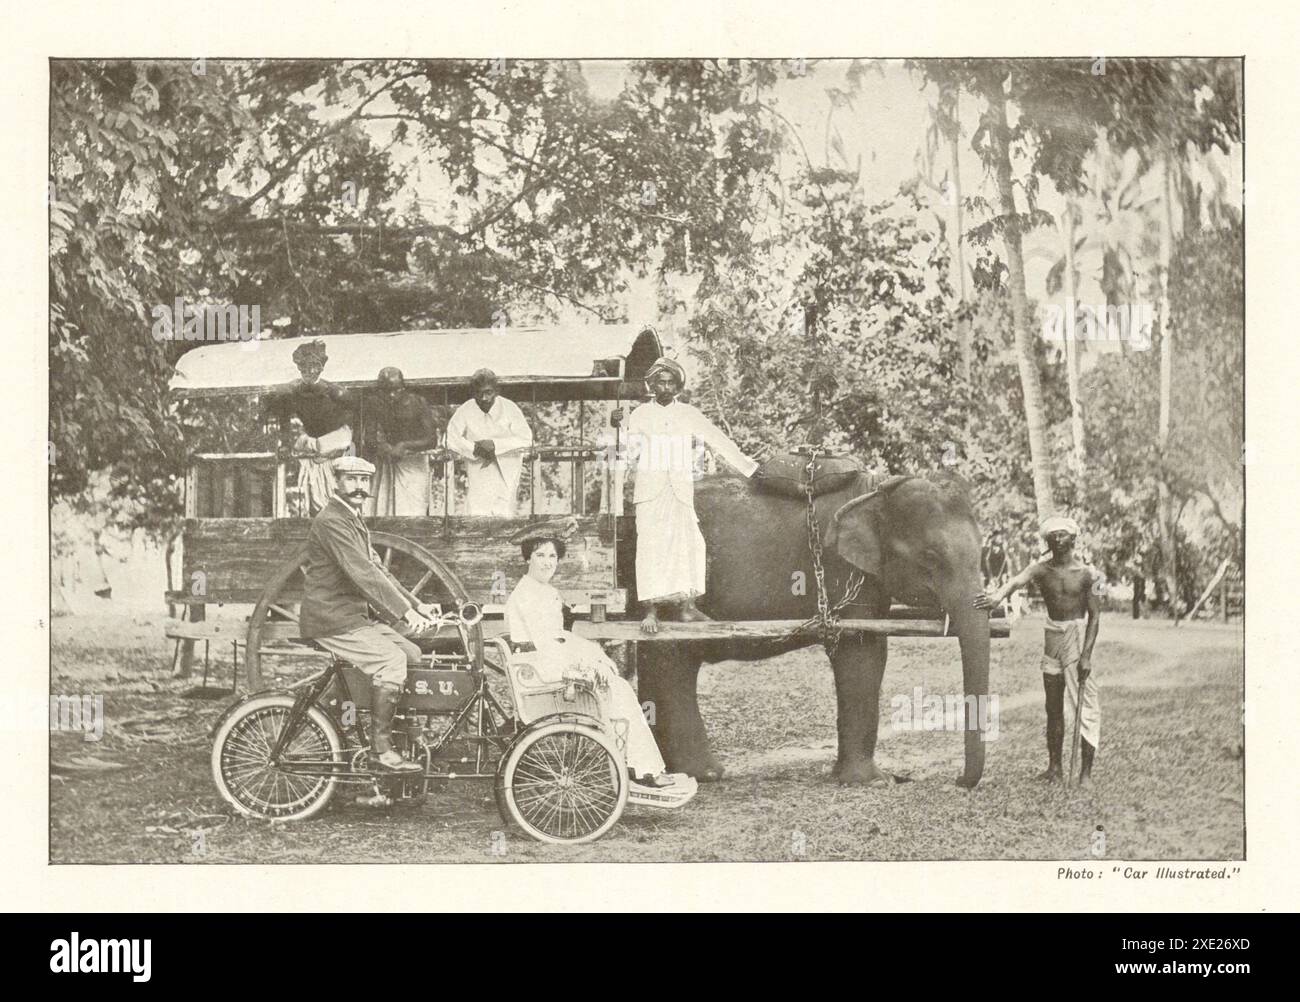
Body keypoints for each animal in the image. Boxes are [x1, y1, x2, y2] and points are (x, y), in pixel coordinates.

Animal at [634, 470, 987, 790]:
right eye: (931, 557)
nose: (958, 781)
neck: (876, 491)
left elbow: (871, 648)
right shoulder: (842, 569)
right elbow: (860, 654)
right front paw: (874, 782)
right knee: (672, 662)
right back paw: (705, 774)